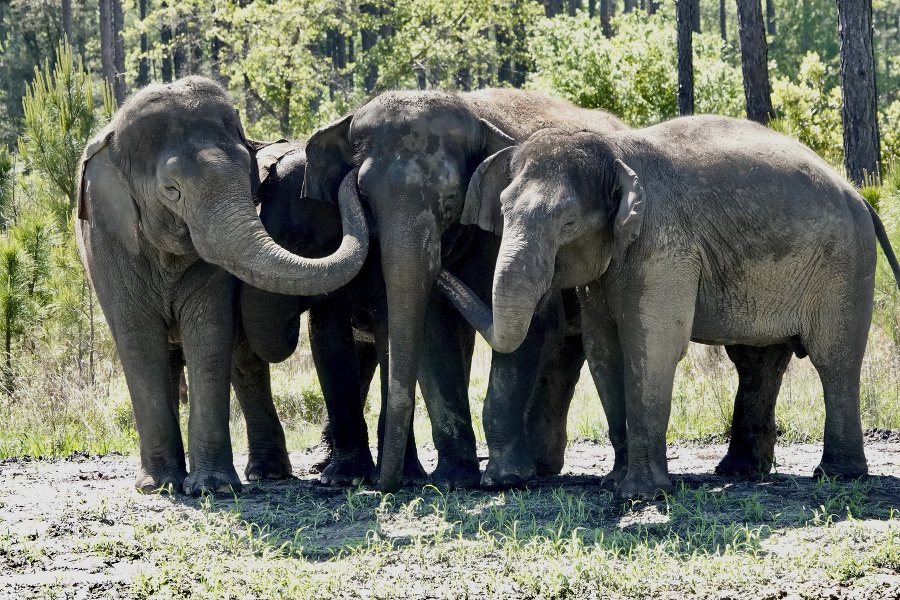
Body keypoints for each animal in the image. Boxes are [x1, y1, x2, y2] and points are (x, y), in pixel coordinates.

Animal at [77, 77, 370, 494]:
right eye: (171, 190)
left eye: (249, 174)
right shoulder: (108, 242)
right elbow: (137, 339)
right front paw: (158, 487)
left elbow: (210, 332)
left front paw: (211, 488)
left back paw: (265, 474)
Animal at [241, 141, 428, 488]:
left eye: (301, 242)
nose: (291, 317)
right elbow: (328, 339)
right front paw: (344, 479)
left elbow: (390, 334)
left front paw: (403, 477)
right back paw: (322, 466)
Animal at [302, 89, 624, 492]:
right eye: (364, 197)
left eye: (452, 199)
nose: (386, 486)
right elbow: (432, 333)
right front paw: (452, 481)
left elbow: (534, 326)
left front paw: (504, 480)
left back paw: (537, 467)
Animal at [440, 115, 900, 500]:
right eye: (502, 211)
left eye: (568, 223)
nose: (440, 270)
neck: (614, 151)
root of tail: (861, 198)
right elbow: (604, 352)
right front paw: (613, 484)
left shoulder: (663, 246)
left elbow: (651, 347)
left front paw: (640, 495)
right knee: (758, 361)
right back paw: (740, 472)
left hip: (844, 268)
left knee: (833, 360)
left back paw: (838, 475)